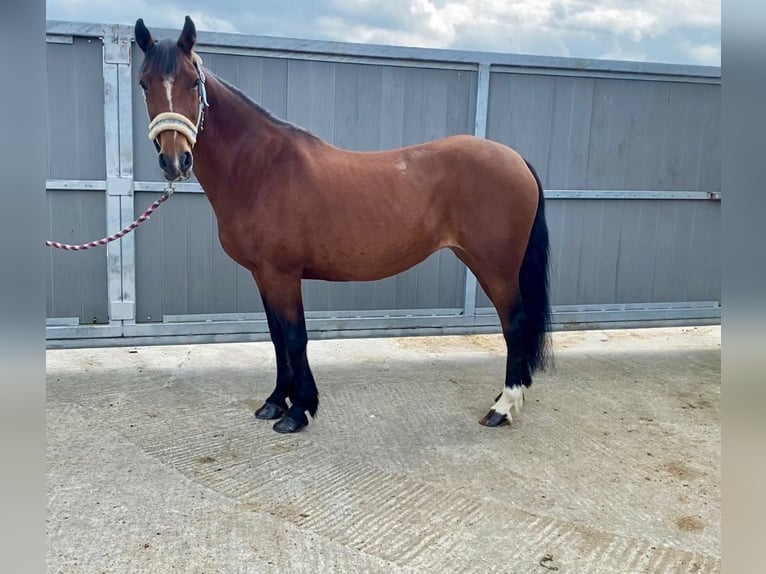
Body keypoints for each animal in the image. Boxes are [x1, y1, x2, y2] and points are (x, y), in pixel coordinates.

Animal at [134, 15, 552, 434]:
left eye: (193, 81)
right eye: (144, 83)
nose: (176, 160)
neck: (263, 168)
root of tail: (516, 159)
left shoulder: (283, 274)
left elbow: (295, 337)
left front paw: (299, 410)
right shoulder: (262, 274)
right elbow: (276, 338)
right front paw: (275, 401)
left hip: (495, 268)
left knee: (515, 324)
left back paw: (502, 407)